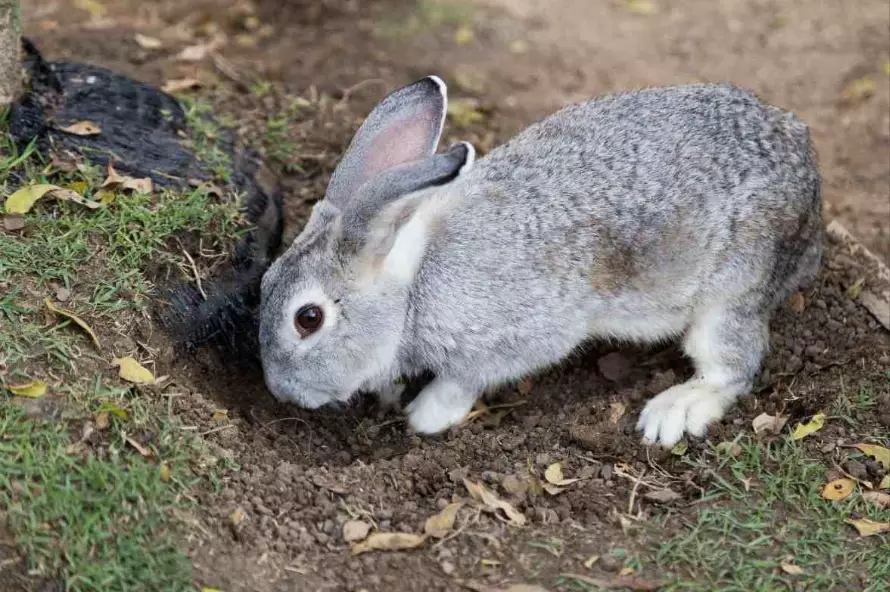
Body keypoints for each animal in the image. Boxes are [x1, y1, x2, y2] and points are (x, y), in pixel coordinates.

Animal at [258, 75, 823, 447]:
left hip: (731, 291)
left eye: (308, 319)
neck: (412, 287)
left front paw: (424, 415)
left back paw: (673, 412)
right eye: (263, 283)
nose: (281, 391)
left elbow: (463, 381)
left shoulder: (514, 339)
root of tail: (811, 185)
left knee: (733, 366)